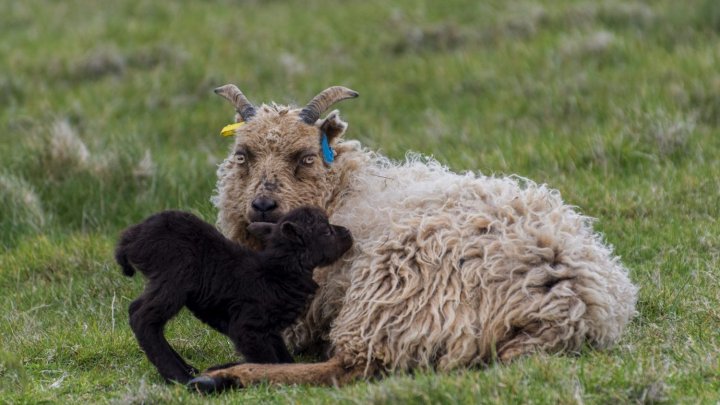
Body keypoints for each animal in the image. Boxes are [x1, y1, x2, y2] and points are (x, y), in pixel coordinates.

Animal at [112, 207, 354, 384]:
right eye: (326, 231)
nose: (348, 232)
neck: (279, 272)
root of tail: (131, 238)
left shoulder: (268, 328)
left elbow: (282, 356)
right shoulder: (247, 326)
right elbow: (266, 360)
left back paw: (187, 368)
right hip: (175, 276)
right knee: (142, 316)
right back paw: (178, 375)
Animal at [188, 84, 640, 392]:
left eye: (306, 157)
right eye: (242, 155)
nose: (263, 205)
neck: (345, 191)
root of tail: (564, 302)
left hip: (393, 291)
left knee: (352, 366)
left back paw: (221, 377)